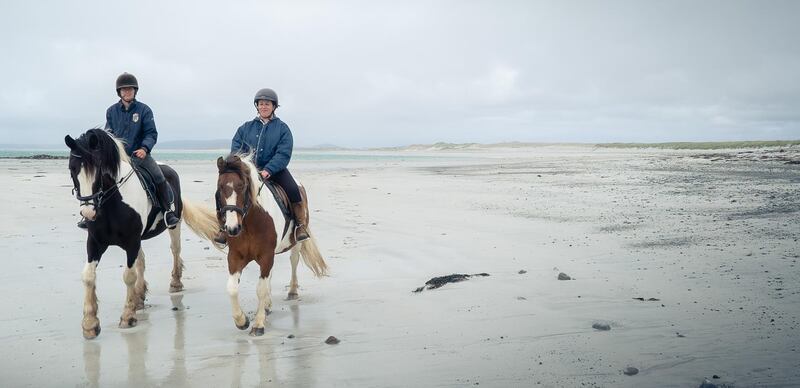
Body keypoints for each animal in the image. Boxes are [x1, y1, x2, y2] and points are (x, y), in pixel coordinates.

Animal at [65, 128, 219, 340]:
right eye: (72, 169)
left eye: (98, 169)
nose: (88, 212)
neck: (113, 202)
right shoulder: (95, 242)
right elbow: (88, 276)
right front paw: (90, 324)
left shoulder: (131, 241)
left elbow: (128, 276)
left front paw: (128, 316)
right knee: (142, 260)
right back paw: (139, 296)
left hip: (173, 226)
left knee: (175, 251)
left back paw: (175, 283)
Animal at [211, 155, 330, 336]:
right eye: (220, 187)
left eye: (242, 186)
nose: (232, 228)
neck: (251, 222)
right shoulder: (236, 256)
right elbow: (232, 288)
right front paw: (242, 321)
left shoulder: (266, 256)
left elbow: (261, 289)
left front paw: (258, 324)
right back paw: (267, 306)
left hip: (295, 244)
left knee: (293, 262)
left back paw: (292, 292)